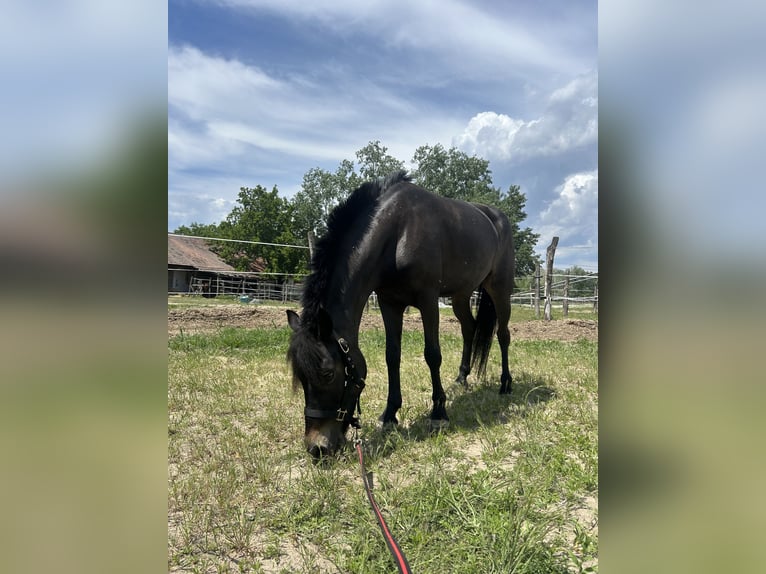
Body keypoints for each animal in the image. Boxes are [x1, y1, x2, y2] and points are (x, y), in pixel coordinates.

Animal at [287, 171, 514, 458]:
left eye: (328, 373)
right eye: (299, 376)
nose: (317, 447)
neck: (399, 231)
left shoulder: (428, 300)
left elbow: (432, 355)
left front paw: (439, 413)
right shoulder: (389, 303)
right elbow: (392, 356)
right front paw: (390, 415)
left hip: (500, 289)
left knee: (503, 334)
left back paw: (506, 384)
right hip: (461, 295)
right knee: (469, 328)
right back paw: (461, 378)